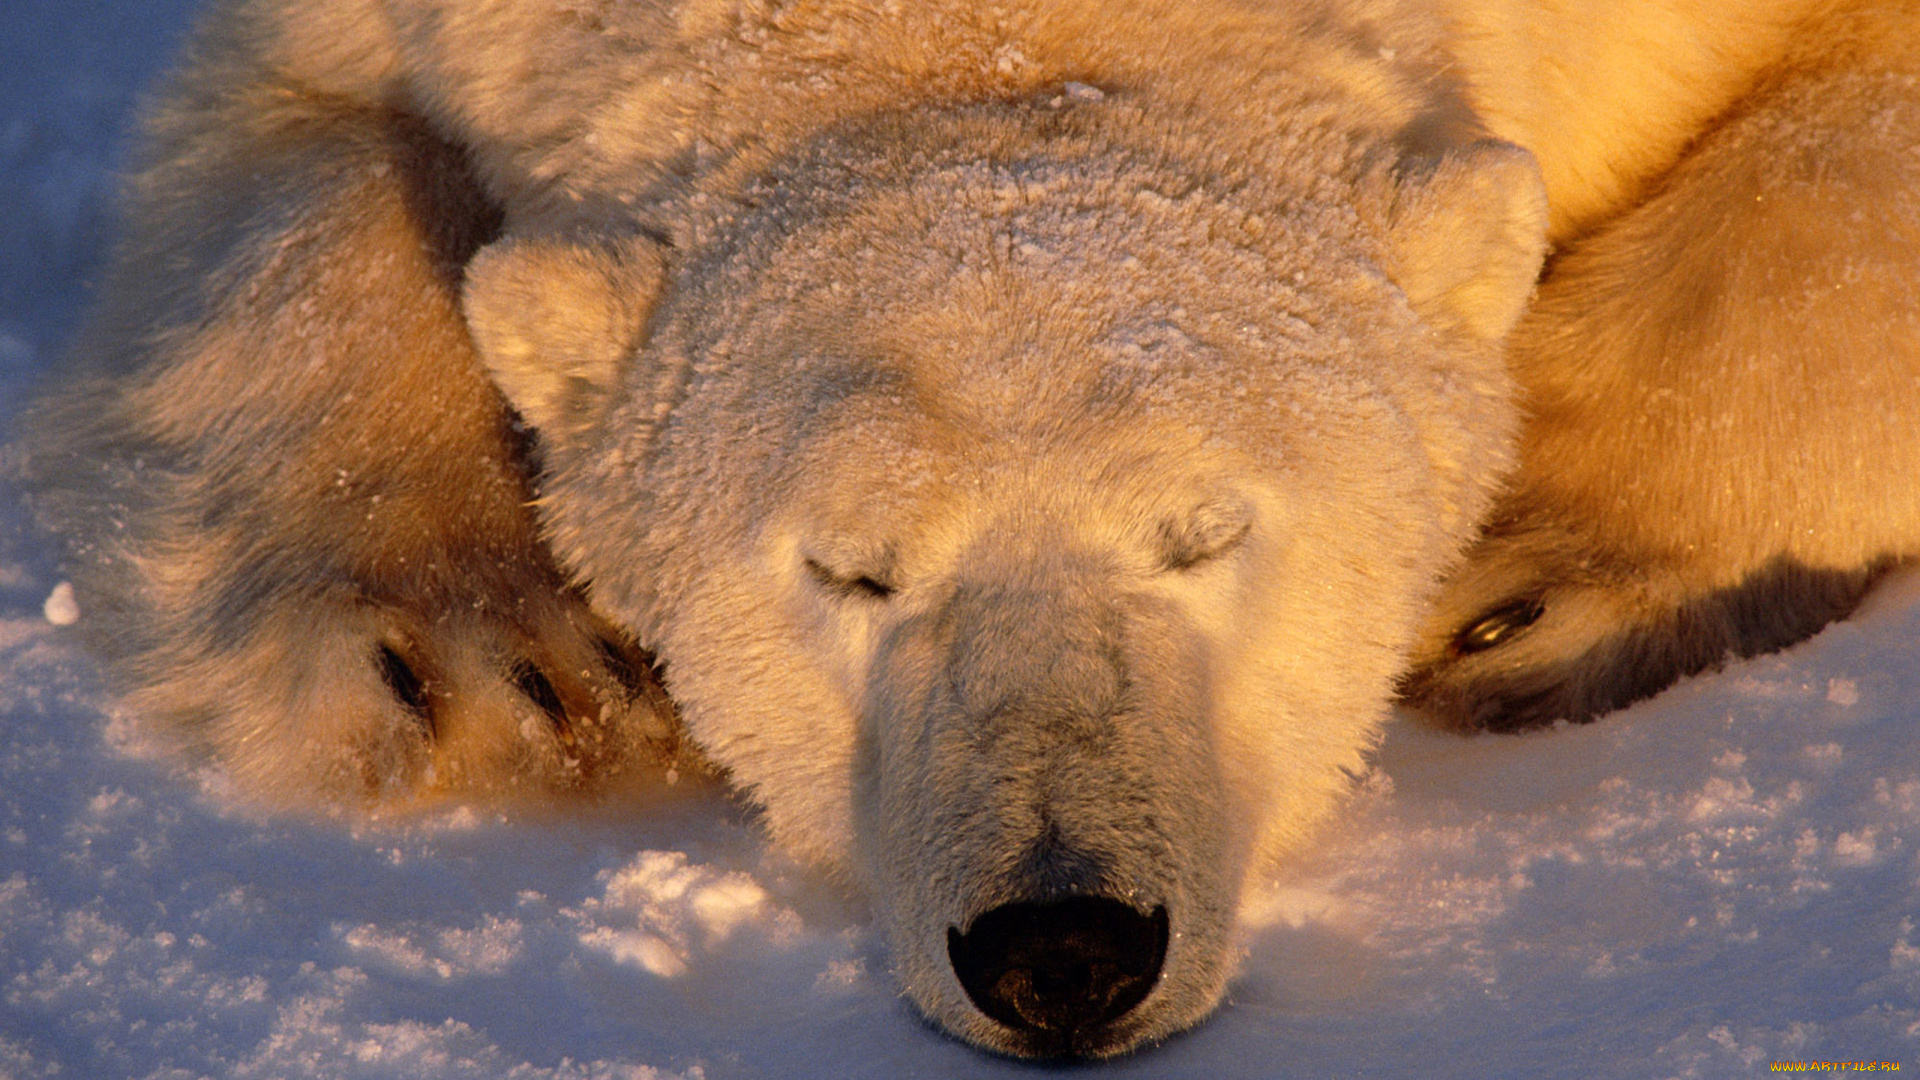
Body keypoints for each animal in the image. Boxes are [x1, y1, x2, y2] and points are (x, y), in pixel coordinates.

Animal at [20, 0, 1920, 1061]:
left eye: (1205, 532)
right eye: (849, 570)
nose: (1062, 947)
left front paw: (1533, 572)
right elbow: (293, 160)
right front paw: (479, 667)